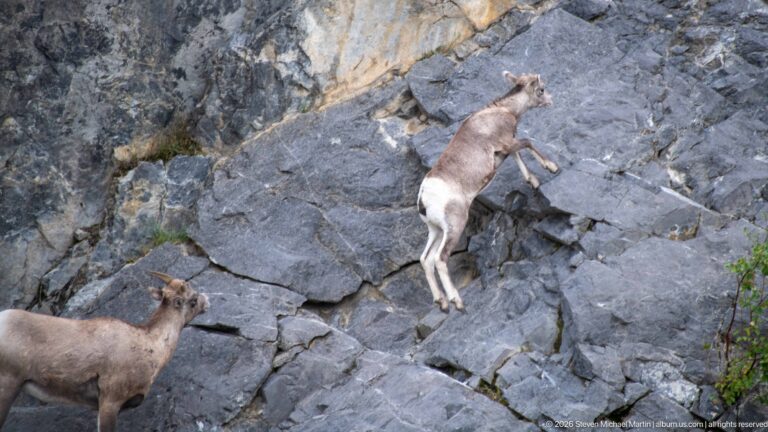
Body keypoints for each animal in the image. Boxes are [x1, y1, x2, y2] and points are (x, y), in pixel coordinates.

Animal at [417, 71, 558, 312]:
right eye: (541, 89)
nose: (551, 100)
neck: (503, 110)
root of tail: (423, 199)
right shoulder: (506, 142)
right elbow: (527, 143)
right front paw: (551, 167)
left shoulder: (506, 149)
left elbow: (519, 155)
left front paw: (533, 181)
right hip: (455, 227)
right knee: (440, 259)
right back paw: (456, 301)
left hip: (436, 231)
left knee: (425, 260)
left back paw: (441, 302)